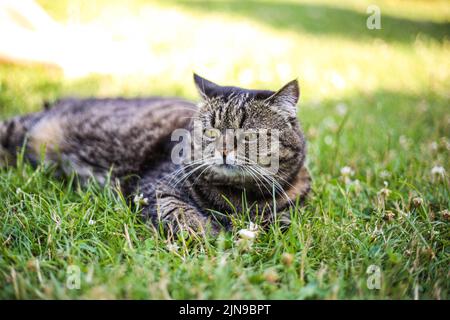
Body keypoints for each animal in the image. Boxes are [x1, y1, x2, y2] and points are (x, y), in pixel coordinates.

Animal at [0, 74, 312, 235]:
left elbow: (282, 222)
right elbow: (186, 216)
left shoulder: (291, 211)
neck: (238, 199)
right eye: (210, 131)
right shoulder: (156, 188)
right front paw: (215, 238)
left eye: (248, 134)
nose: (223, 150)